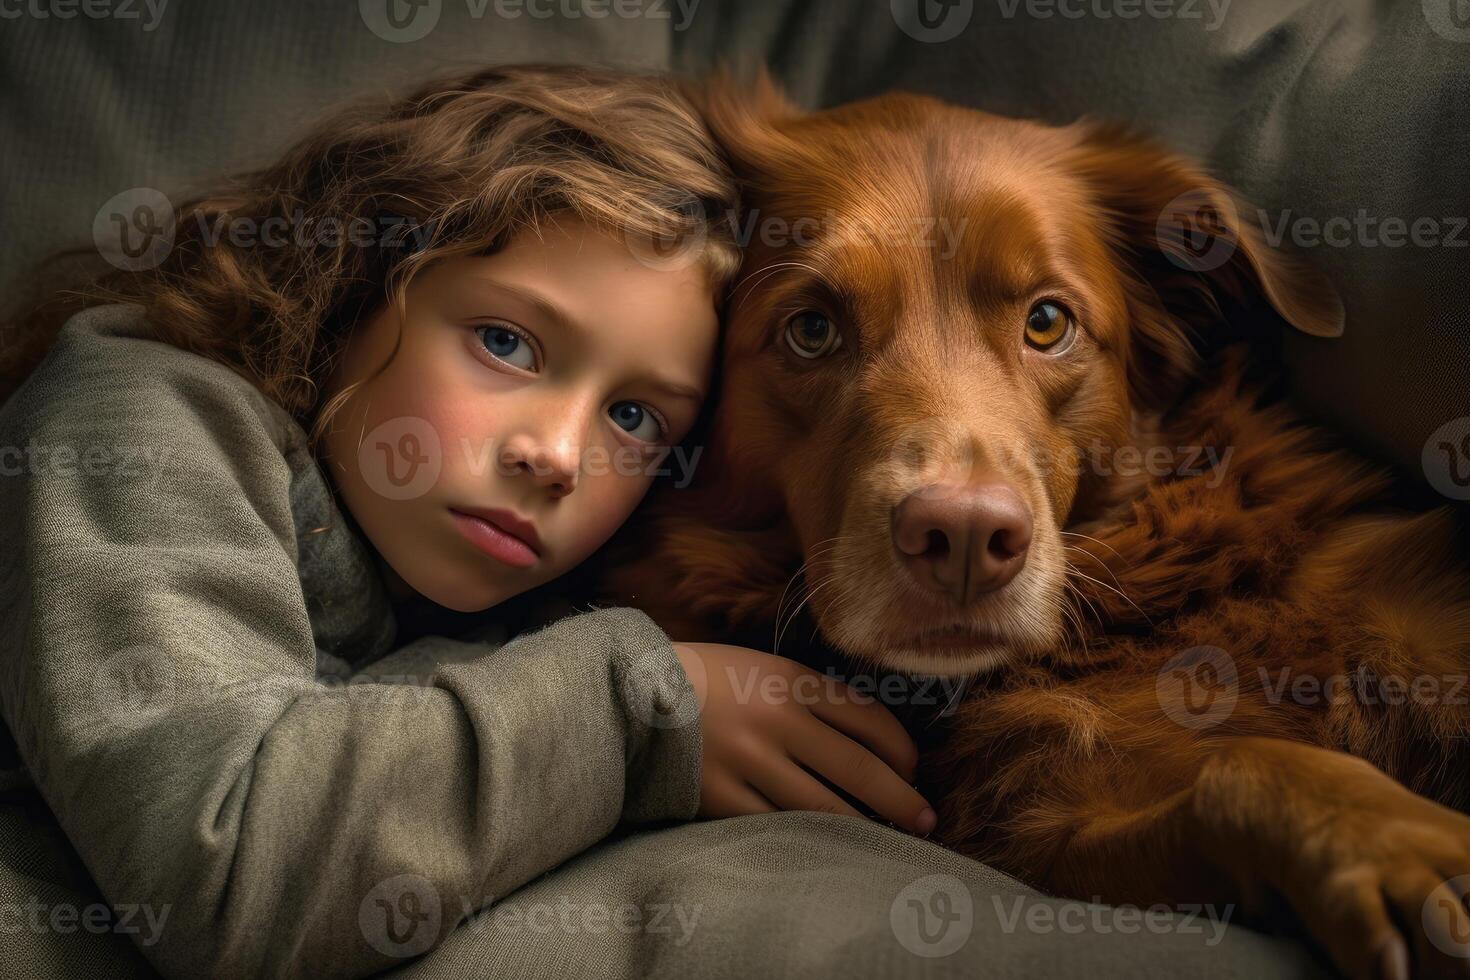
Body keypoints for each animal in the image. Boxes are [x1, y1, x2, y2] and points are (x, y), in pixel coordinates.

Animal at [596, 74, 1470, 980]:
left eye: (1048, 323)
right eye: (811, 328)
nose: (964, 542)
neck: (1134, 613)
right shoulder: (1050, 823)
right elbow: (1236, 770)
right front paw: (1406, 853)